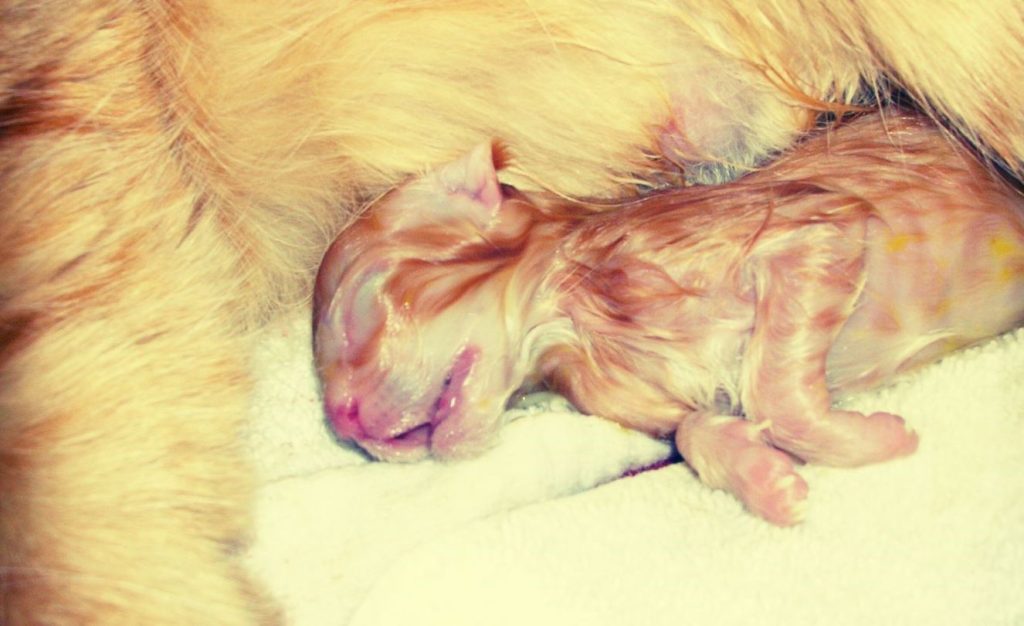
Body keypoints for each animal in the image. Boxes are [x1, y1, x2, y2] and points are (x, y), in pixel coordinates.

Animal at [311, 113, 1024, 528]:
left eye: (360, 305)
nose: (342, 422)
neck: (575, 333)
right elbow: (693, 429)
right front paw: (761, 476)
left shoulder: (815, 228)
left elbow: (773, 394)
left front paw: (873, 439)